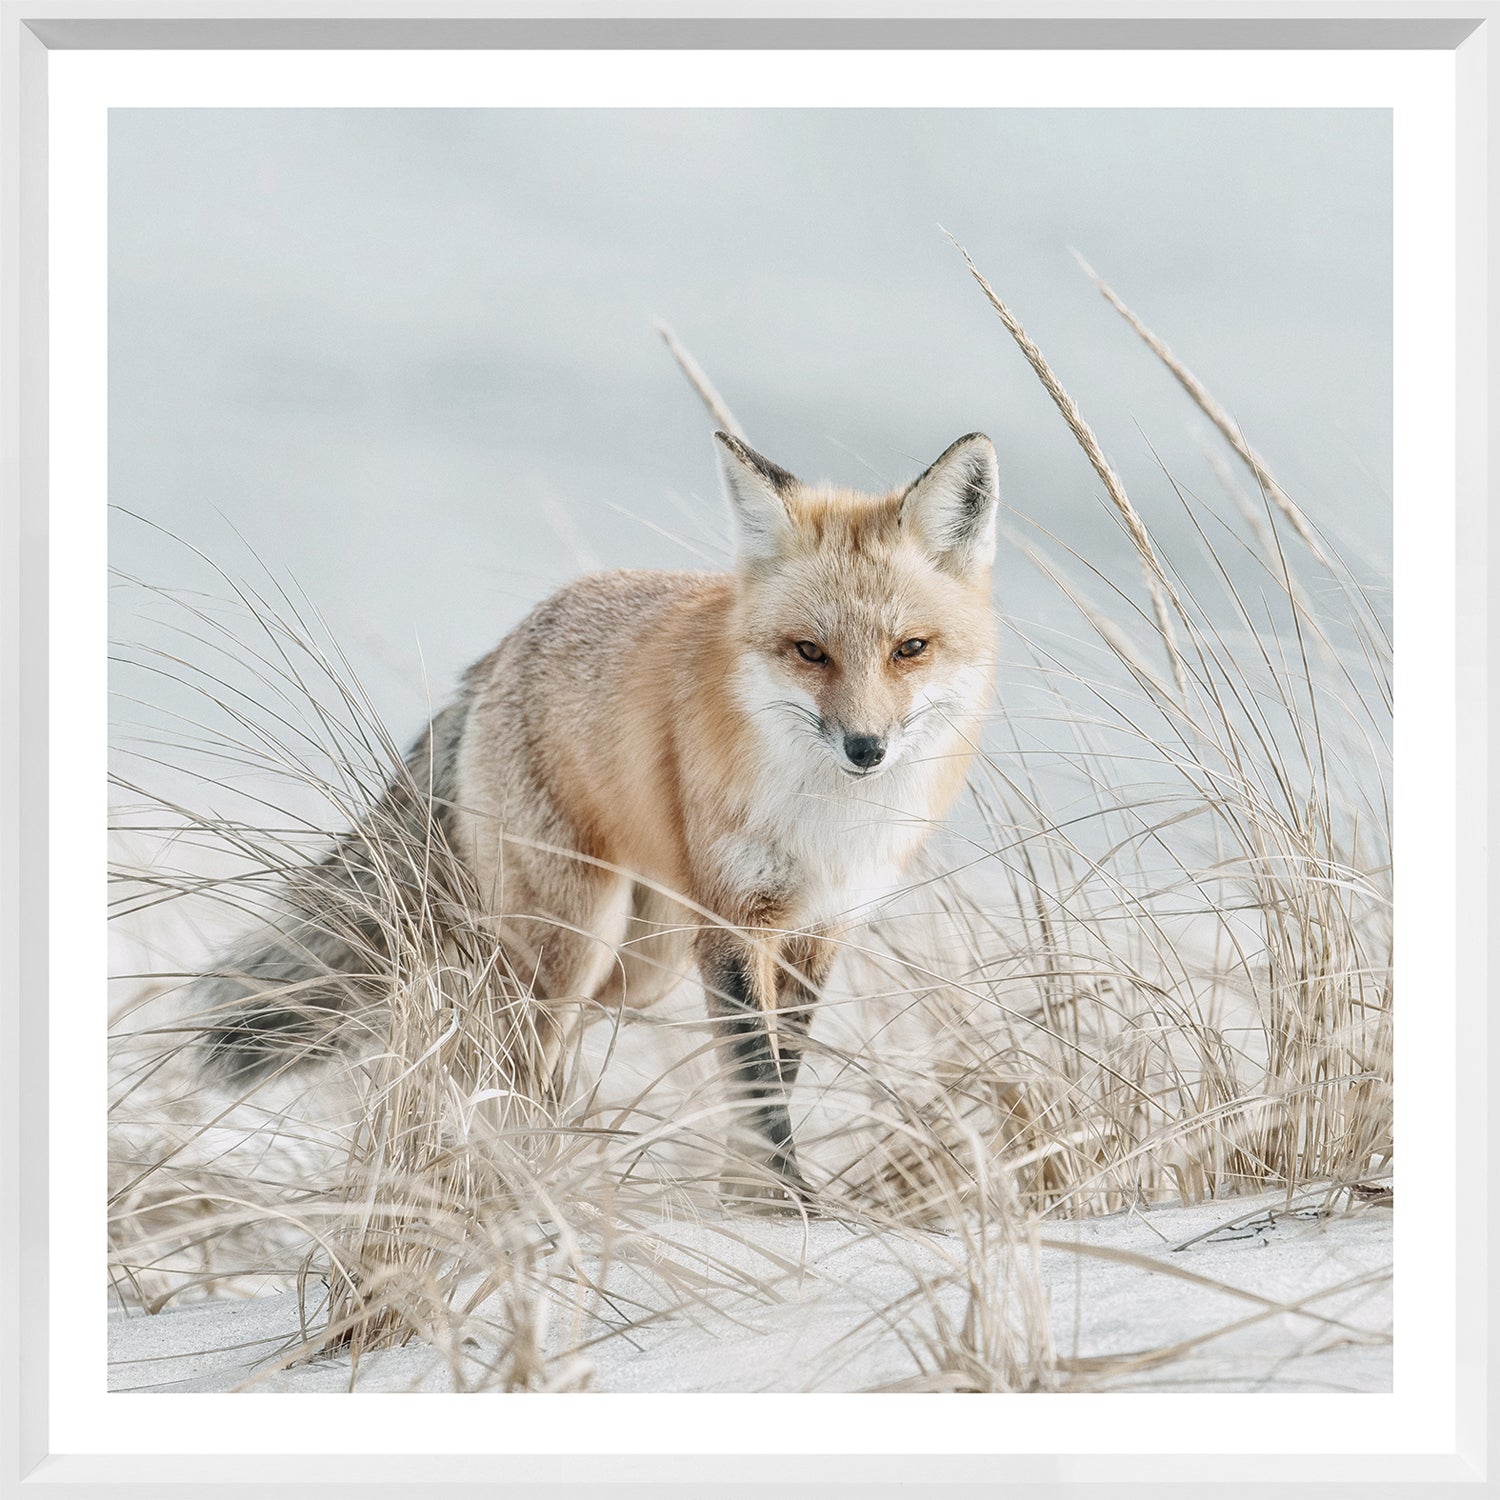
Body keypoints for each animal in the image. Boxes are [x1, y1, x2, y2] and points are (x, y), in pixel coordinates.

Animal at [197, 429, 1000, 1203]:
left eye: (910, 649)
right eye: (809, 651)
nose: (866, 748)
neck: (830, 819)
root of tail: (500, 651)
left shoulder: (819, 926)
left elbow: (780, 1069)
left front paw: (752, 1199)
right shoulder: (736, 924)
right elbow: (758, 1083)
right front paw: (782, 1205)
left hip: (642, 963)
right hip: (575, 940)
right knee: (504, 1051)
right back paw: (511, 1176)